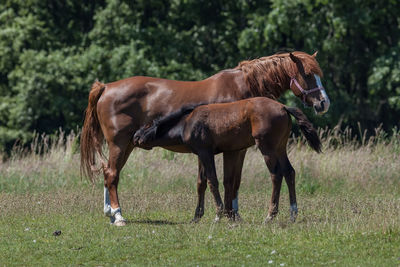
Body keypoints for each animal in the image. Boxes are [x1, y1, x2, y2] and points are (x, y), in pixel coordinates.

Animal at [134, 97, 322, 223]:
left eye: (147, 125)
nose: (135, 137)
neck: (187, 122)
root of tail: (283, 106)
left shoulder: (206, 153)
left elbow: (212, 181)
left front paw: (218, 214)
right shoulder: (202, 154)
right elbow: (201, 183)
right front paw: (197, 216)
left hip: (267, 149)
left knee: (276, 175)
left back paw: (270, 215)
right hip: (280, 148)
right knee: (289, 172)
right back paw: (293, 213)